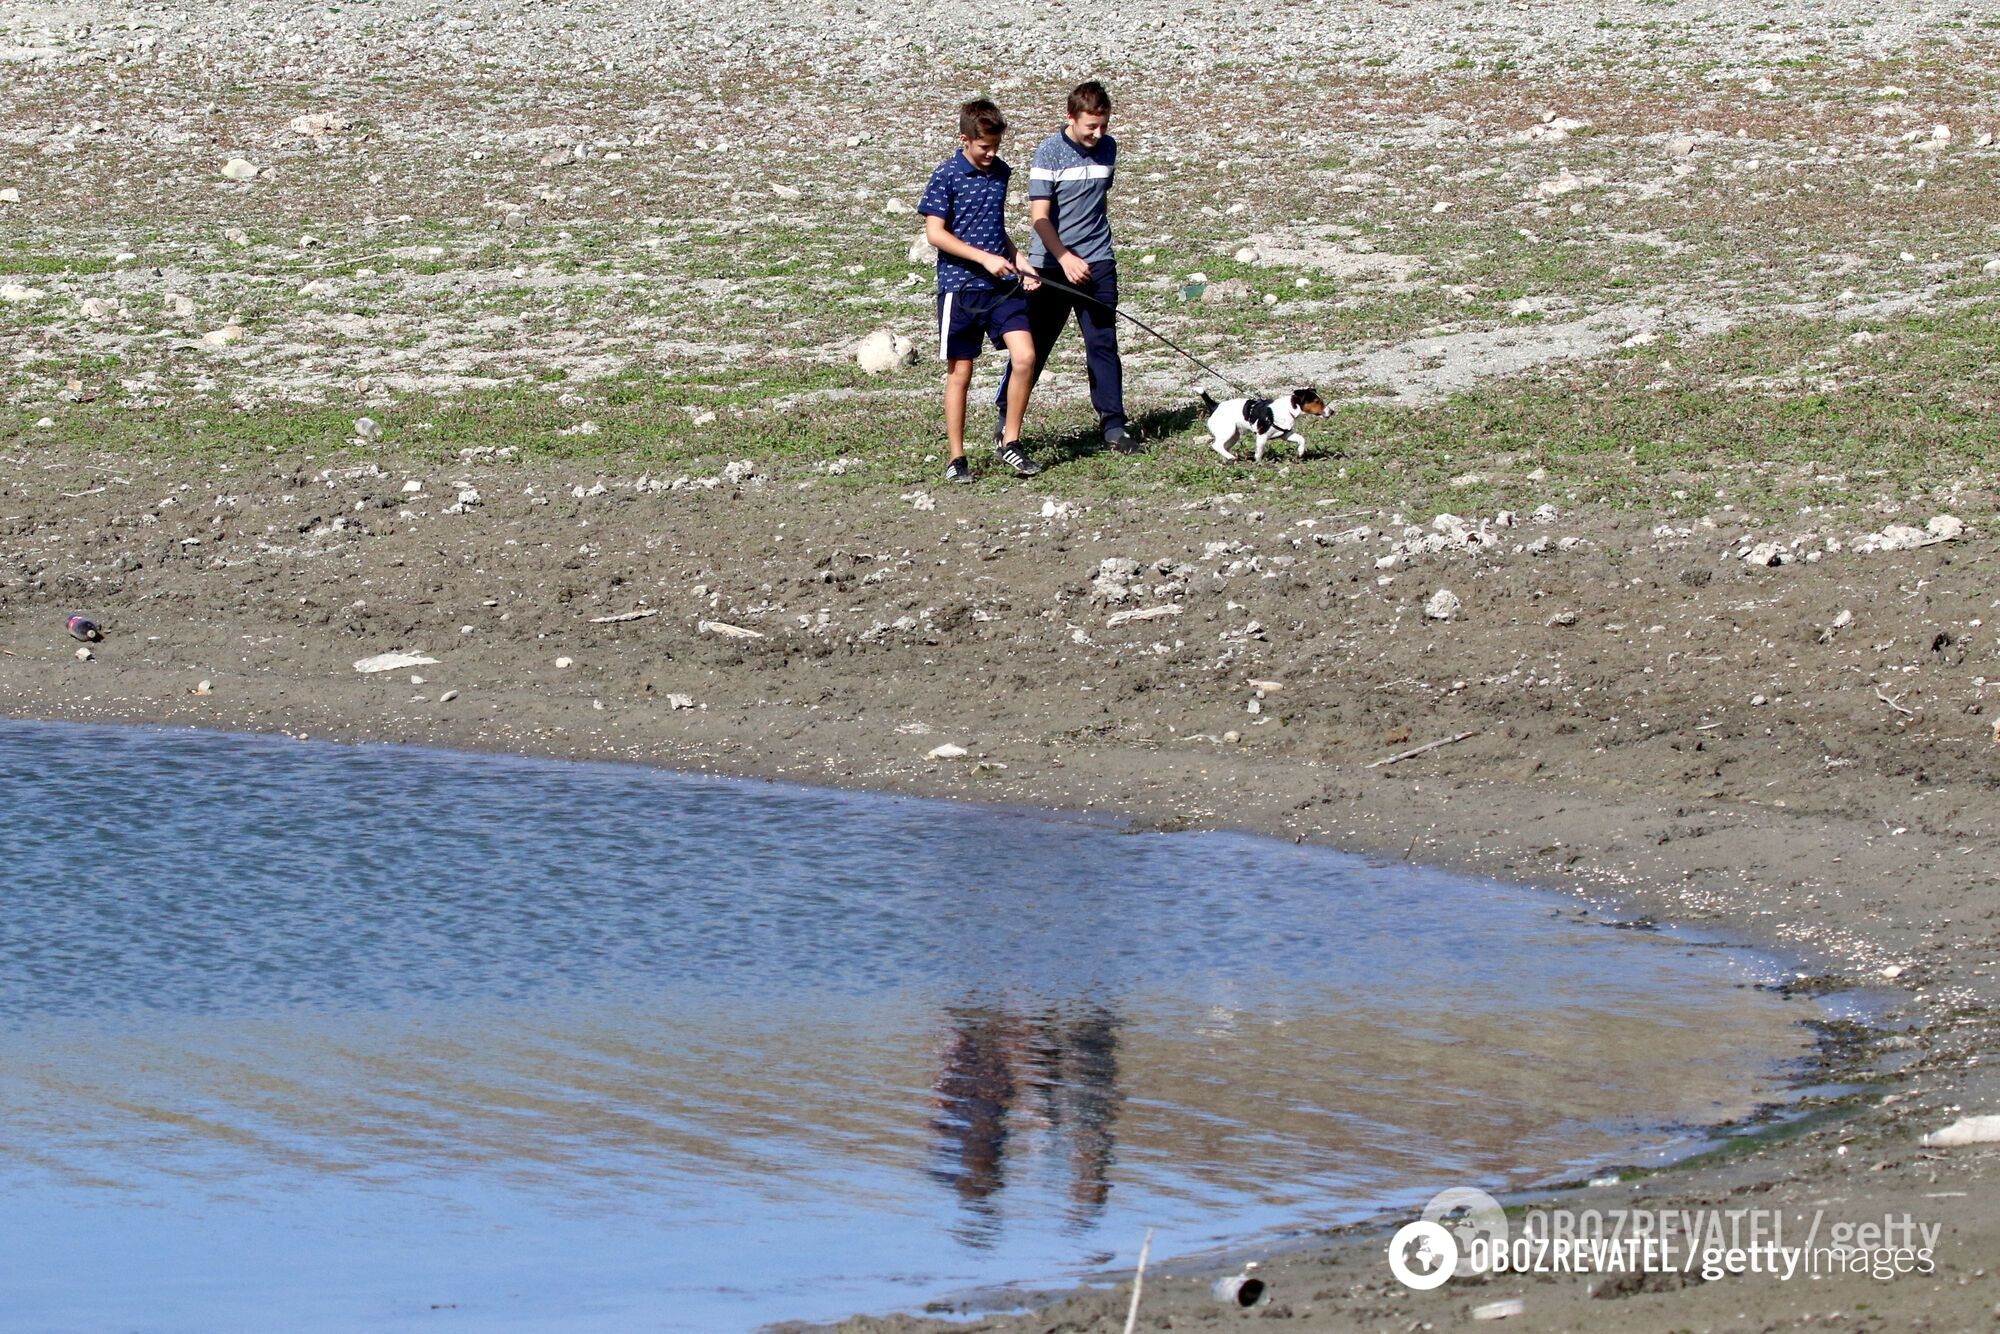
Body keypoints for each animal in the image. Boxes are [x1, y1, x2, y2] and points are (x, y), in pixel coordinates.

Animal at [1192, 388, 1320, 462]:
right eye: (1317, 402)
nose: (1326, 411)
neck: (1288, 409)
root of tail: (1214, 406)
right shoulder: (1262, 436)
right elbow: (1259, 452)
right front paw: (1259, 463)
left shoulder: (1286, 435)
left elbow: (1301, 439)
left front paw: (1301, 451)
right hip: (1227, 431)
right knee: (1216, 445)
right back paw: (1230, 457)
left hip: (1234, 435)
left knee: (1224, 447)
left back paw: (1229, 459)